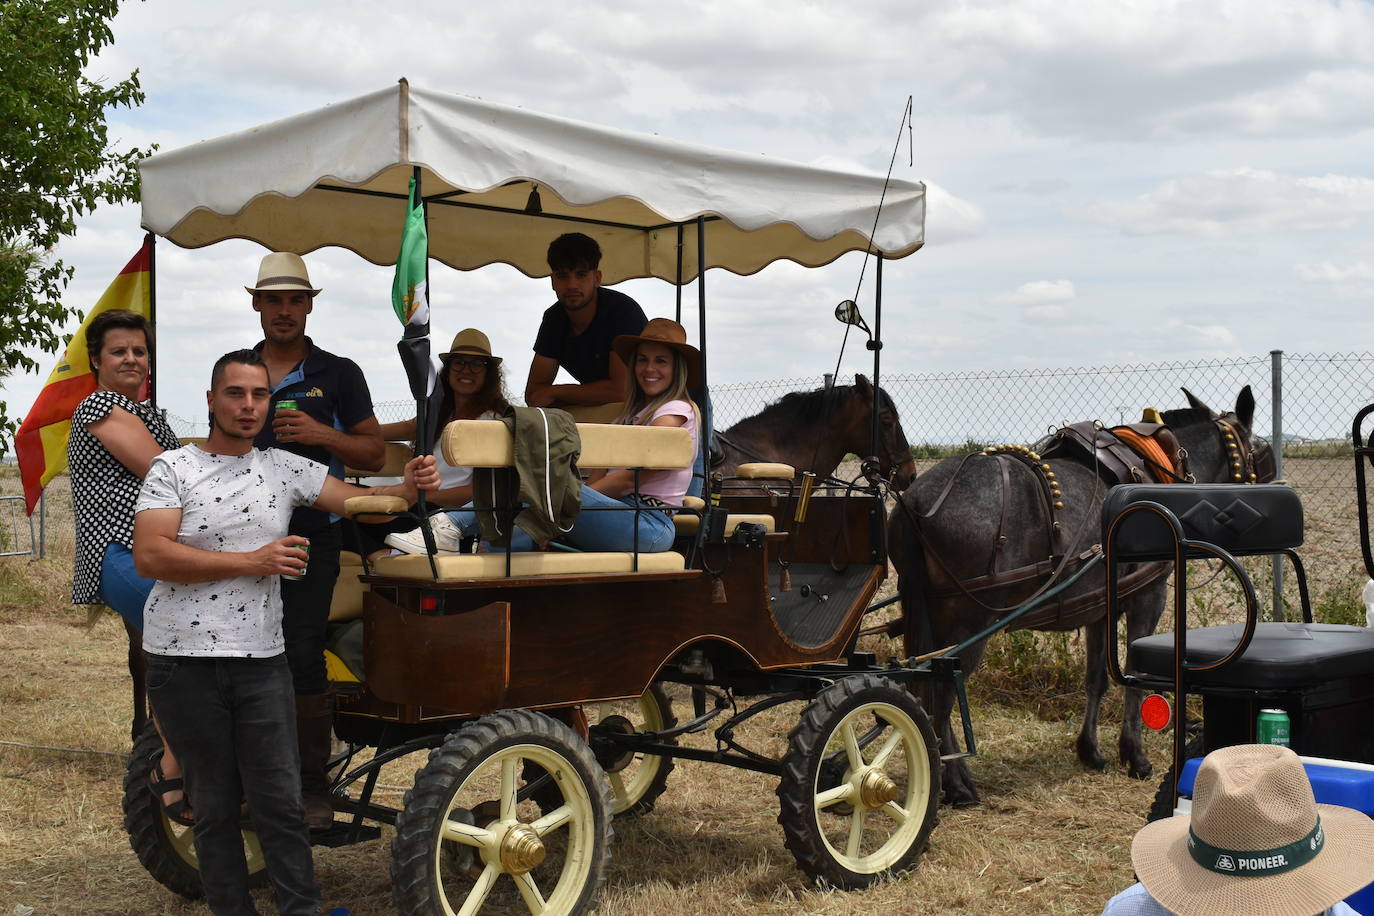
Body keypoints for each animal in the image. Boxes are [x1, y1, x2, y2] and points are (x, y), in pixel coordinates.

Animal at [884, 390, 1269, 807]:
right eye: (1261, 449)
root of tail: (917, 502)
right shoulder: (1149, 596)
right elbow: (1133, 677)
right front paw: (1135, 756)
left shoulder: (1100, 607)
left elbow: (1096, 679)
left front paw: (1091, 751)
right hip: (967, 622)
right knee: (941, 696)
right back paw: (956, 784)